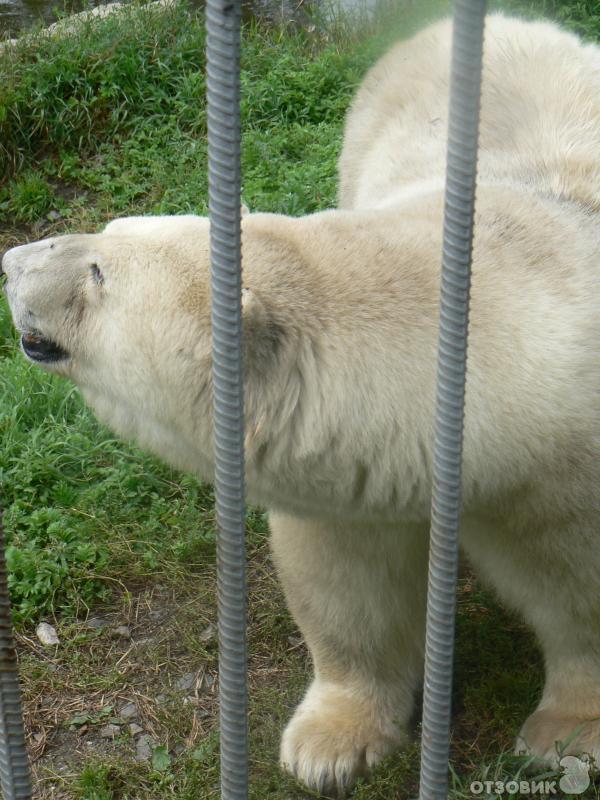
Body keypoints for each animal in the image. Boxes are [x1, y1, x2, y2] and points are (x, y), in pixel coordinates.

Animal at [3, 12, 600, 800]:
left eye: (100, 270)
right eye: (110, 230)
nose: (11, 262)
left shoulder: (561, 478)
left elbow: (578, 594)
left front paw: (565, 735)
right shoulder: (357, 471)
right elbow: (348, 586)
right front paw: (329, 745)